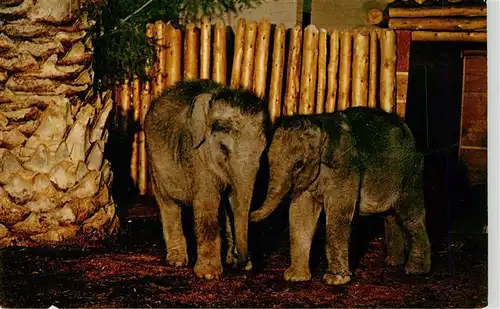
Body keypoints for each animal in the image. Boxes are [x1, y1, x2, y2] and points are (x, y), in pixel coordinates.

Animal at [145, 79, 270, 280]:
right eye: (223, 148)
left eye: (263, 150)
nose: (243, 263)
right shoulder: (195, 153)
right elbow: (207, 202)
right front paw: (209, 275)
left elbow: (231, 203)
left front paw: (234, 261)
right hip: (152, 160)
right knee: (168, 204)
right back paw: (177, 261)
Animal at [252, 107, 432, 286]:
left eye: (298, 164)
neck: (320, 127)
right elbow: (300, 213)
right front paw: (294, 278)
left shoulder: (345, 168)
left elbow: (338, 214)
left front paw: (335, 280)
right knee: (391, 215)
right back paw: (393, 262)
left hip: (410, 174)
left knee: (410, 216)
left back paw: (415, 270)